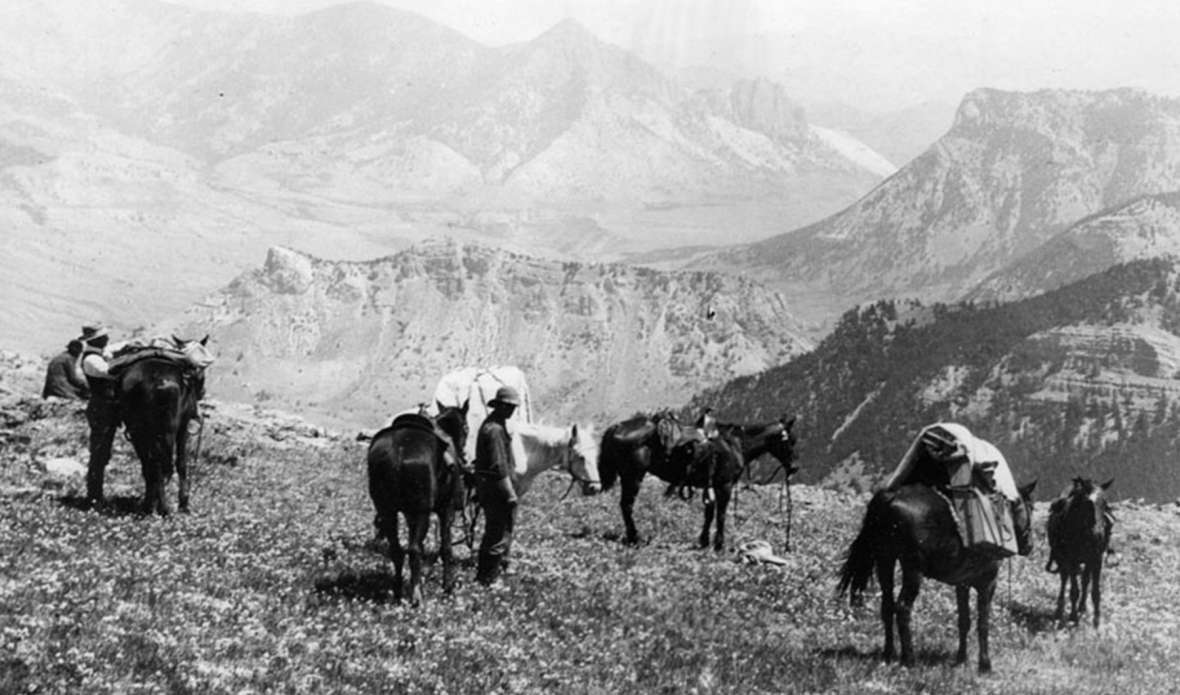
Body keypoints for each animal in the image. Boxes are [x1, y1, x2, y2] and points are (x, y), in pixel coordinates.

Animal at [114, 342, 207, 512]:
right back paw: (164, 508)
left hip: (138, 430)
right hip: (165, 431)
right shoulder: (183, 426)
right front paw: (183, 502)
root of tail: (156, 380)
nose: (203, 392)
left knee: (150, 465)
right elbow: (181, 463)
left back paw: (149, 505)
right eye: (201, 375)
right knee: (161, 464)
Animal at [365, 403, 467, 604]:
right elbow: (446, 548)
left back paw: (398, 592)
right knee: (413, 550)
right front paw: (448, 587)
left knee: (397, 550)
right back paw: (416, 596)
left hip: (387, 511)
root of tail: (397, 452)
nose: (463, 456)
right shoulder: (447, 510)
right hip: (422, 512)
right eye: (466, 429)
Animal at [835, 479, 1038, 670]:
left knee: (887, 606)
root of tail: (891, 497)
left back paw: (888, 654)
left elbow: (964, 620)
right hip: (913, 571)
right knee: (902, 608)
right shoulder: (988, 583)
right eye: (1031, 507)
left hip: (885, 561)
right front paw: (984, 664)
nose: (1029, 546)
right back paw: (909, 659)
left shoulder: (962, 584)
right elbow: (983, 623)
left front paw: (961, 659)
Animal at [1047, 474, 1109, 627]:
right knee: (1064, 579)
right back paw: (1059, 611)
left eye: (1105, 504)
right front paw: (1073, 618)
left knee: (1085, 580)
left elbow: (1095, 591)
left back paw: (1082, 608)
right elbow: (1074, 591)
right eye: (1088, 504)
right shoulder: (1071, 560)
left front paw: (1096, 621)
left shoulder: (1096, 559)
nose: (1098, 534)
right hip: (1061, 558)